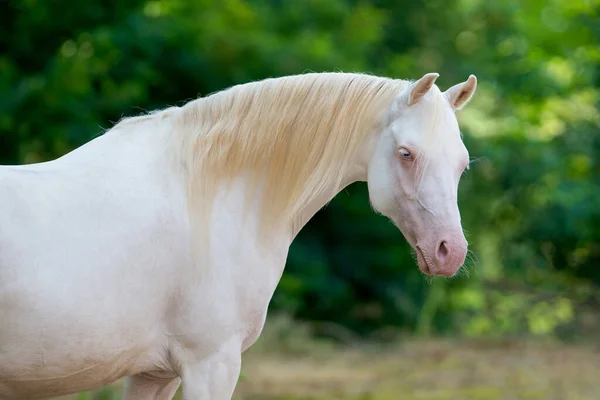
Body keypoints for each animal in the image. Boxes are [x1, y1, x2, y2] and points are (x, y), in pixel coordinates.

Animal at [0, 70, 478, 398]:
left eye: (462, 163)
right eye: (406, 154)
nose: (449, 251)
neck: (208, 195)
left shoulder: (154, 373)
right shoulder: (211, 364)